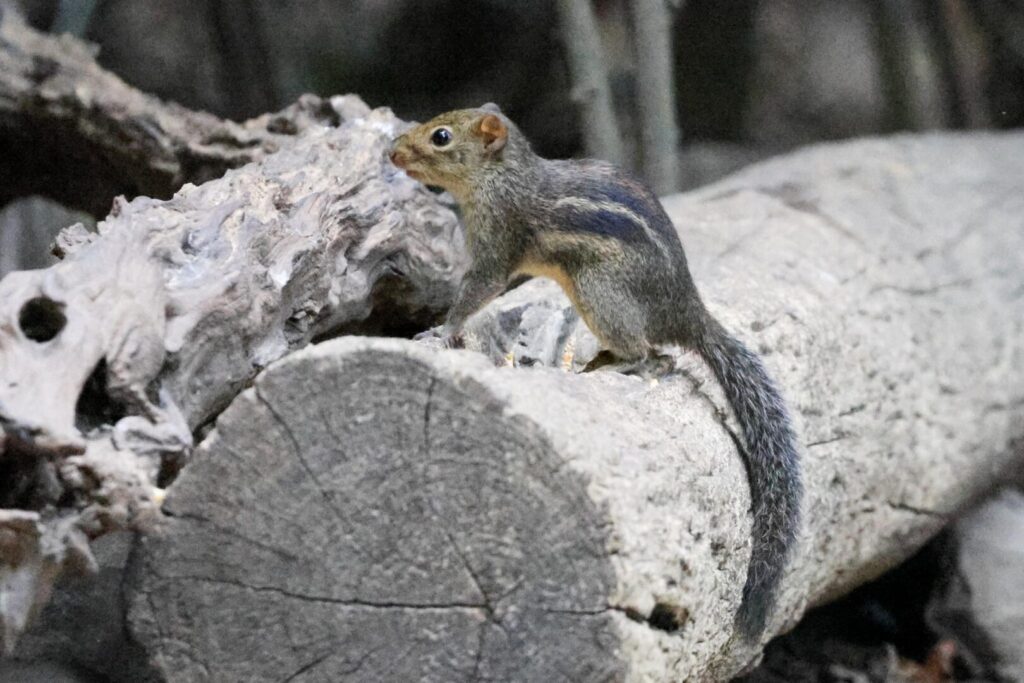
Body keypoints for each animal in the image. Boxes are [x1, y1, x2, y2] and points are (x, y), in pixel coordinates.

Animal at [389, 103, 802, 640]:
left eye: (440, 136)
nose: (391, 151)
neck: (502, 177)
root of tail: (687, 312)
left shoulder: (499, 245)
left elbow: (478, 289)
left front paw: (441, 331)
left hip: (599, 291)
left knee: (650, 353)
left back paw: (617, 361)